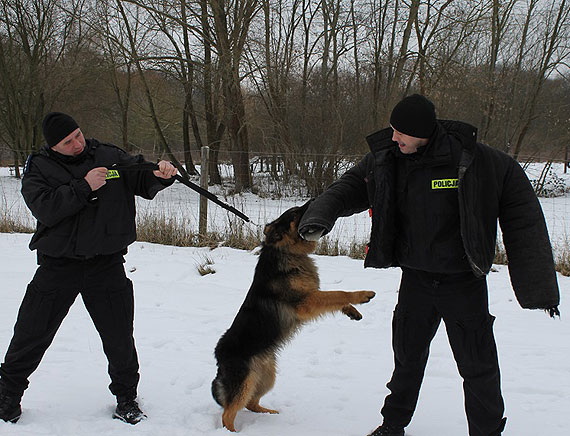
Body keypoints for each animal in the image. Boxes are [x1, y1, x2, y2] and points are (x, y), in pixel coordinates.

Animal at [211, 203, 374, 430]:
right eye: (295, 213)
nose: (313, 200)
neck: (284, 250)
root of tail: (219, 356)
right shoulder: (306, 302)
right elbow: (337, 293)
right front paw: (362, 295)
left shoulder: (312, 296)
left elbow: (334, 298)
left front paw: (352, 311)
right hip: (245, 382)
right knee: (228, 413)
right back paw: (233, 432)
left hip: (265, 377)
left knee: (251, 403)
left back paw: (269, 414)